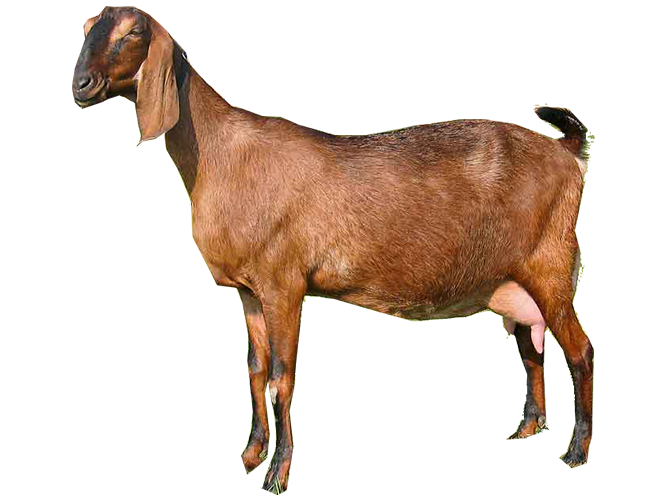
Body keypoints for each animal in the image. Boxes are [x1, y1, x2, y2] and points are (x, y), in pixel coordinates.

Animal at [73, 7, 593, 495]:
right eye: (90, 28)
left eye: (132, 33)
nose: (82, 83)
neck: (223, 155)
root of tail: (566, 154)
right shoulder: (248, 290)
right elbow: (256, 371)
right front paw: (250, 455)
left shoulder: (283, 283)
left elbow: (281, 376)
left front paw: (277, 474)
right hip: (510, 283)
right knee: (531, 347)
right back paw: (526, 432)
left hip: (550, 266)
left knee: (579, 349)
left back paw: (575, 451)